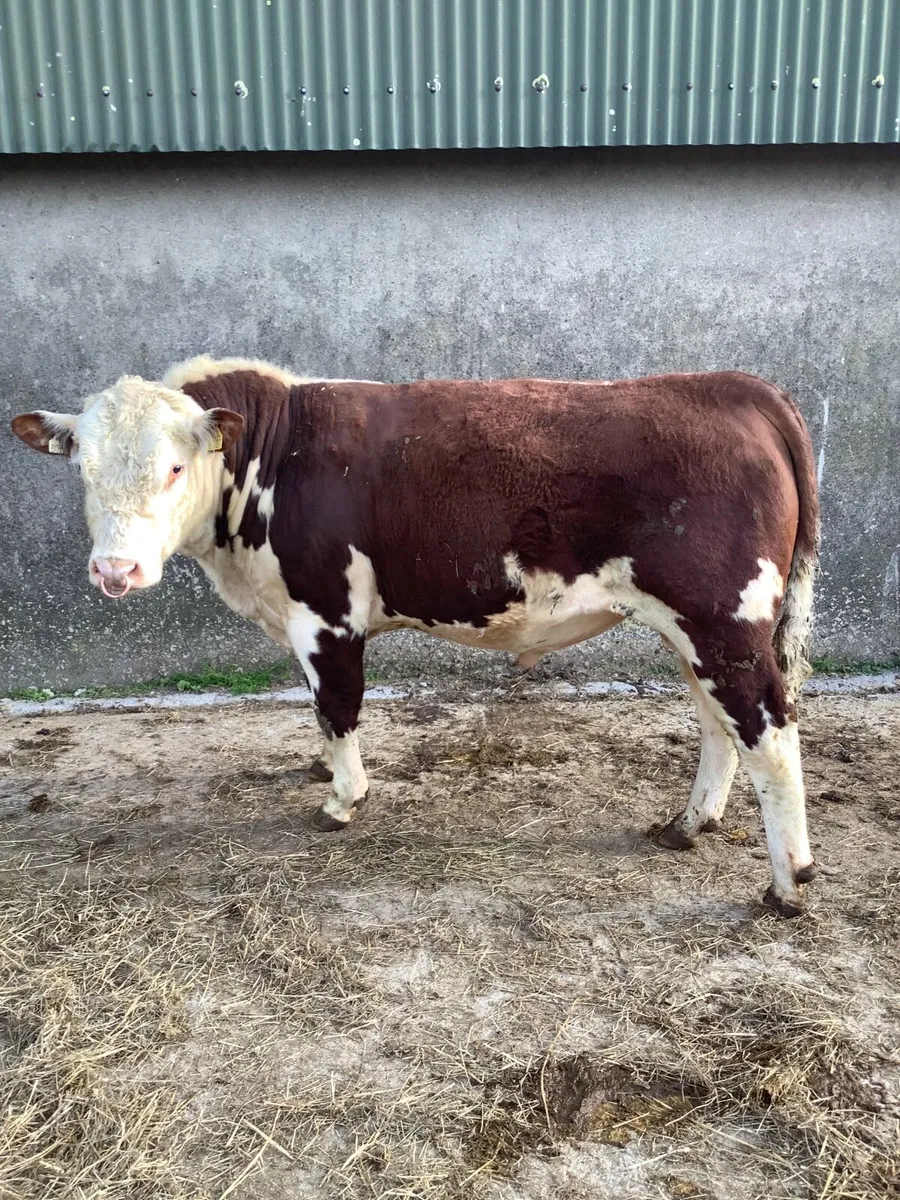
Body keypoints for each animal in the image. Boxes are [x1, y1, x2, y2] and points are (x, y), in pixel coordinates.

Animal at [12, 357, 820, 916]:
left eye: (176, 467)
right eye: (83, 470)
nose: (115, 569)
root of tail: (734, 387)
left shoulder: (328, 614)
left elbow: (337, 706)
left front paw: (343, 799)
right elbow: (320, 713)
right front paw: (323, 772)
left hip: (722, 619)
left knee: (771, 733)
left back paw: (789, 884)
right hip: (694, 628)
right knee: (720, 724)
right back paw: (688, 825)